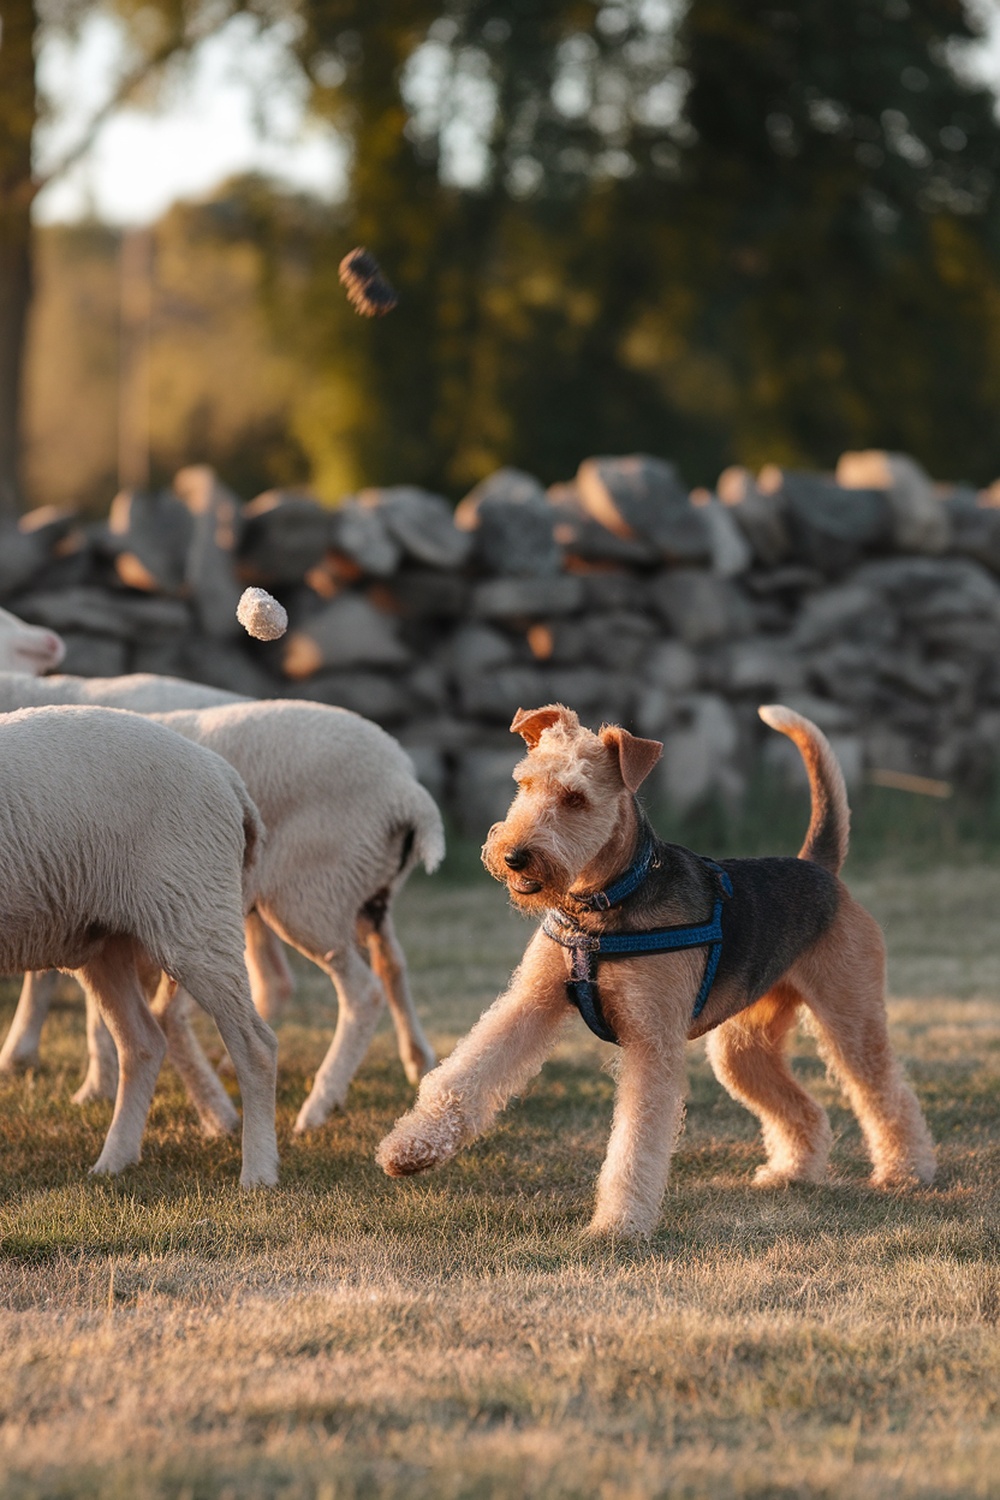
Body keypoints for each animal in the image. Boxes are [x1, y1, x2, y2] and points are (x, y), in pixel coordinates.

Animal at [0, 705, 278, 1185]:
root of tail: (227, 778)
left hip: (194, 911)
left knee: (256, 1046)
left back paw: (259, 1173)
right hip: (102, 937)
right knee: (143, 1043)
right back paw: (114, 1161)